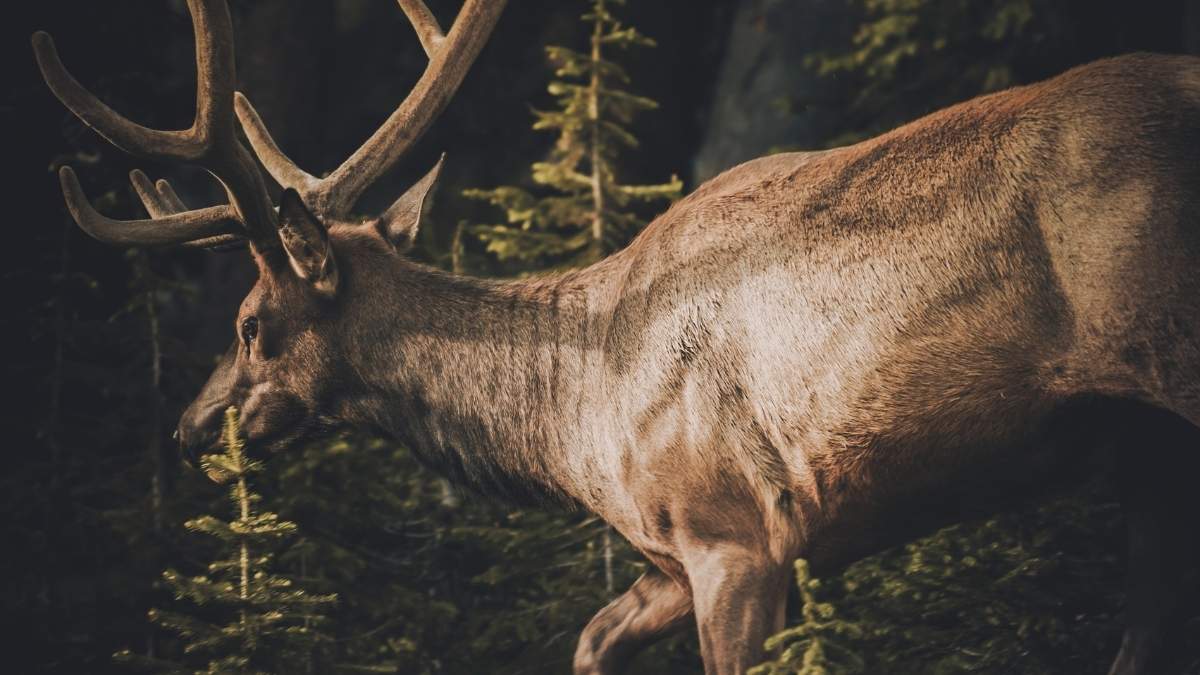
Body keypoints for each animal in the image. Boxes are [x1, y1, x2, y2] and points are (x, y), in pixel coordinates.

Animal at [33, 0, 1200, 673]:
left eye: (250, 324)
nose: (191, 430)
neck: (572, 422)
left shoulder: (736, 533)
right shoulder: (672, 559)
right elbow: (588, 642)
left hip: (1172, 355)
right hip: (1144, 449)